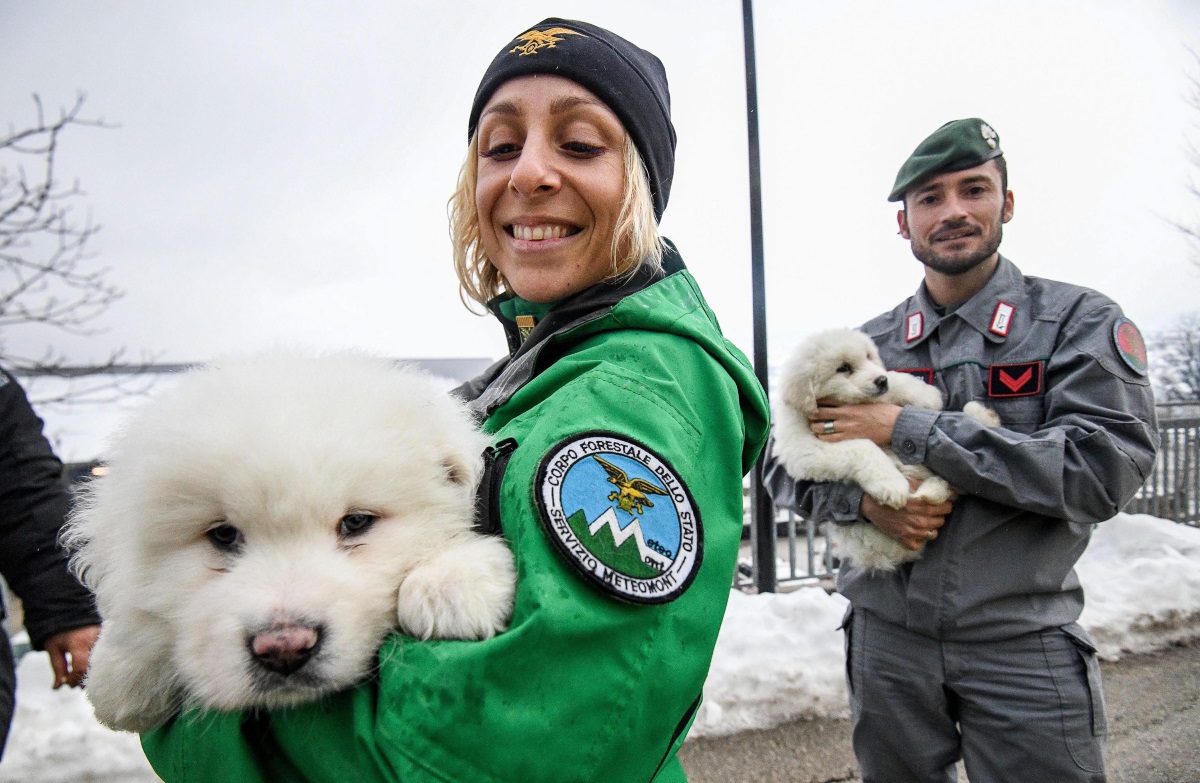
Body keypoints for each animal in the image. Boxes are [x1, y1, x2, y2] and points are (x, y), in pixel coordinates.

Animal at [772, 326, 998, 571]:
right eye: (843, 368)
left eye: (869, 356)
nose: (881, 381)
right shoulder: (804, 449)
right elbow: (863, 446)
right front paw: (892, 485)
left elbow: (896, 379)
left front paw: (926, 394)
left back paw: (983, 415)